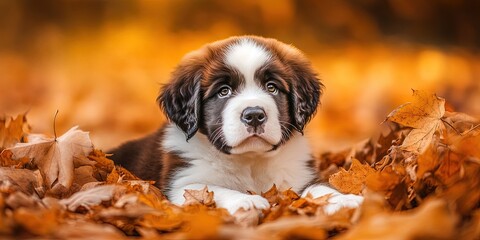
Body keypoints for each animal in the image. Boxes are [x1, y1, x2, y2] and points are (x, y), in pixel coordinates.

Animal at [109, 35, 364, 214]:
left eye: (272, 87)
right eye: (224, 91)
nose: (254, 115)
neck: (250, 159)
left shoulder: (298, 174)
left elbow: (320, 188)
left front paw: (345, 199)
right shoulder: (182, 182)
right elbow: (214, 189)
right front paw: (247, 200)